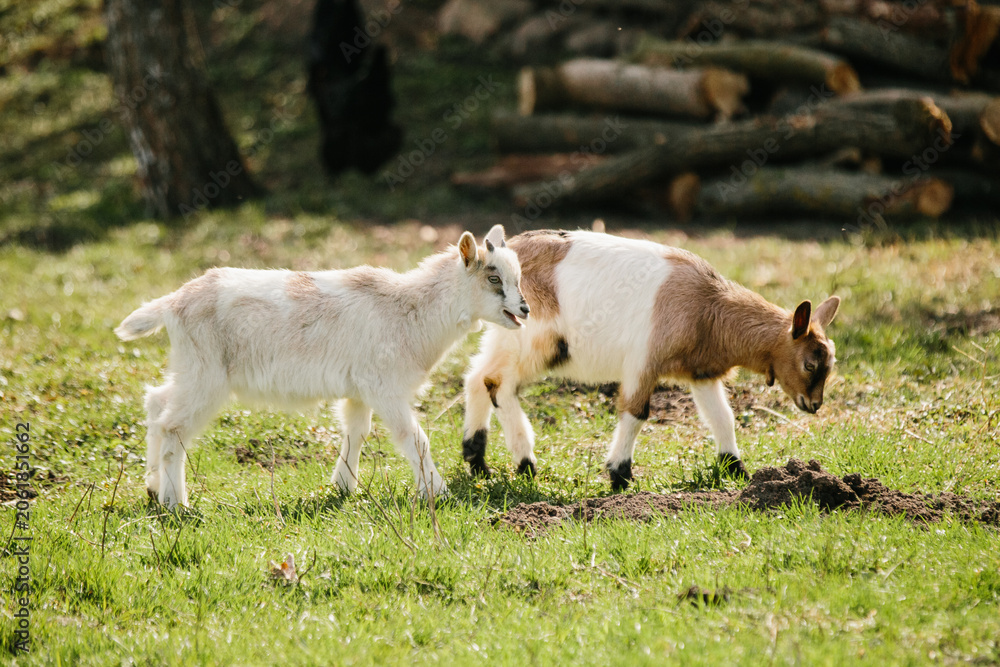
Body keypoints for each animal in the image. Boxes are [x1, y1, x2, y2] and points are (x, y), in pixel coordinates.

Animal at [116, 225, 528, 508]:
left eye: (518, 278)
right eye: (493, 278)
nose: (524, 309)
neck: (409, 309)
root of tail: (173, 302)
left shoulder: (359, 389)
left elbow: (356, 431)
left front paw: (343, 486)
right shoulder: (384, 387)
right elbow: (414, 438)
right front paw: (439, 493)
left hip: (189, 368)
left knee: (156, 403)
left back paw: (153, 488)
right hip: (206, 376)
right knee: (173, 426)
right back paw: (176, 503)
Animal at [461, 230, 840, 489]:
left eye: (830, 365)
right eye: (809, 364)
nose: (814, 405)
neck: (708, 307)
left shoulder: (701, 373)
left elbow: (722, 418)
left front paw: (737, 470)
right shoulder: (643, 362)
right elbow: (636, 412)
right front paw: (620, 477)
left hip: (511, 338)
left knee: (477, 376)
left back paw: (477, 459)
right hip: (538, 341)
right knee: (498, 384)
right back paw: (525, 464)